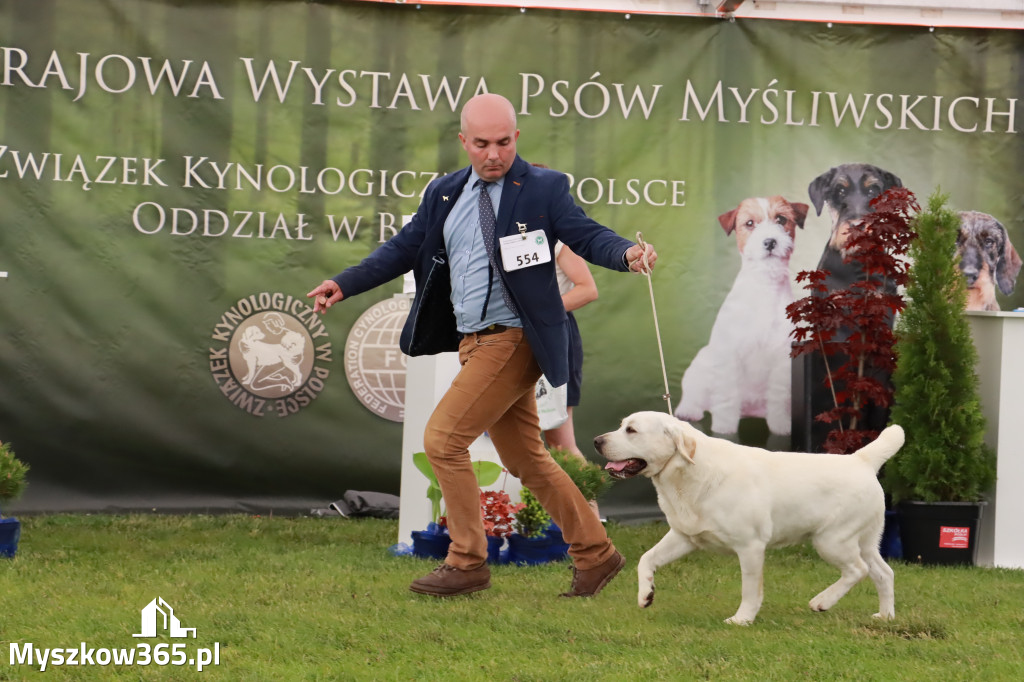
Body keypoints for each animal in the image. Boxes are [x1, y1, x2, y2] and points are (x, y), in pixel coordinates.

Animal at [593, 411, 905, 622]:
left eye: (631, 430)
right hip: (864, 542)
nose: (597, 441)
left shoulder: (751, 546)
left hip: (831, 540)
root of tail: (861, 460)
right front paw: (645, 594)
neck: (689, 475)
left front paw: (742, 619)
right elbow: (646, 559)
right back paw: (885, 616)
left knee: (857, 570)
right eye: (621, 425)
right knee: (884, 573)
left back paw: (822, 602)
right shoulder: (684, 536)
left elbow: (750, 589)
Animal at [671, 193, 806, 432]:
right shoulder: (729, 354)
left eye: (781, 219)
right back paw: (688, 411)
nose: (770, 242)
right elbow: (727, 397)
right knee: (694, 393)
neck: (765, 285)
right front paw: (725, 429)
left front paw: (781, 425)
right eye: (749, 223)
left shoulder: (782, 360)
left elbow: (779, 396)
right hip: (701, 363)